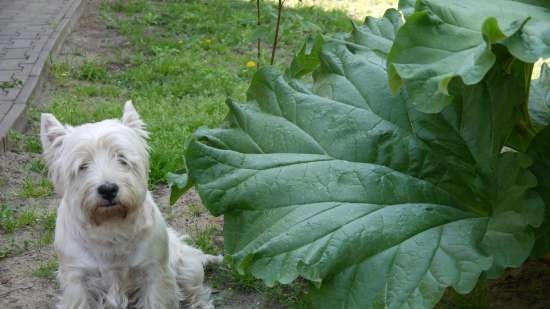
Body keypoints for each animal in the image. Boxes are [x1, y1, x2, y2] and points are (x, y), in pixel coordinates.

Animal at [41, 100, 222, 306]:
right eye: (82, 166)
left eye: (122, 159)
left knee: (197, 290)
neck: (111, 226)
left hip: (185, 265)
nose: (108, 189)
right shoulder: (77, 279)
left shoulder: (154, 272)